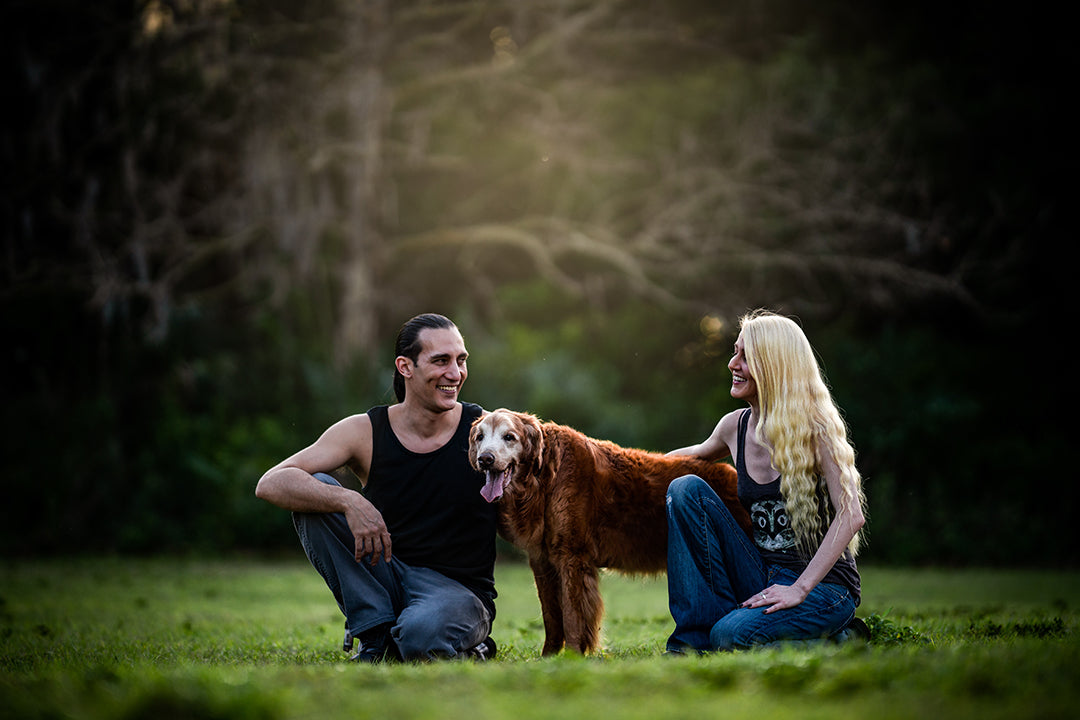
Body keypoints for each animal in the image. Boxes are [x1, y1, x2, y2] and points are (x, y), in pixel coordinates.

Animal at [473, 408, 751, 656]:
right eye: (479, 437)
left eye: (509, 437)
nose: (485, 459)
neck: (544, 477)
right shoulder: (542, 561)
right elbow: (551, 617)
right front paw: (548, 657)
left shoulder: (572, 557)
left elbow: (572, 617)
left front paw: (572, 657)